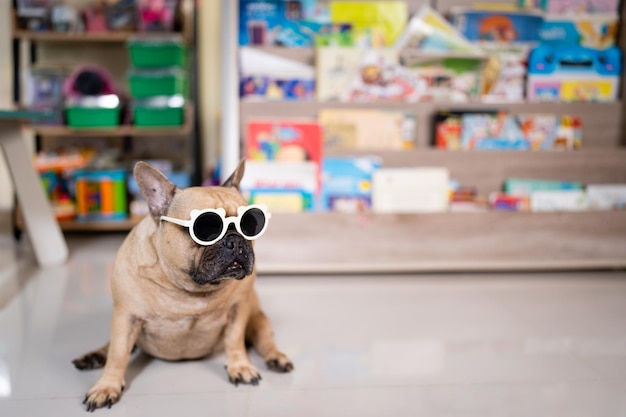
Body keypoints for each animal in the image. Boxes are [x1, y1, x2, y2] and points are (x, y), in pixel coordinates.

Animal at [74, 160, 294, 410]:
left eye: (250, 225)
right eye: (206, 228)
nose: (236, 240)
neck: (188, 289)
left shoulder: (238, 310)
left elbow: (234, 340)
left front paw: (240, 367)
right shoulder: (125, 317)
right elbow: (118, 354)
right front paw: (106, 386)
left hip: (258, 319)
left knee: (266, 341)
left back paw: (276, 358)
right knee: (111, 346)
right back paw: (95, 355)